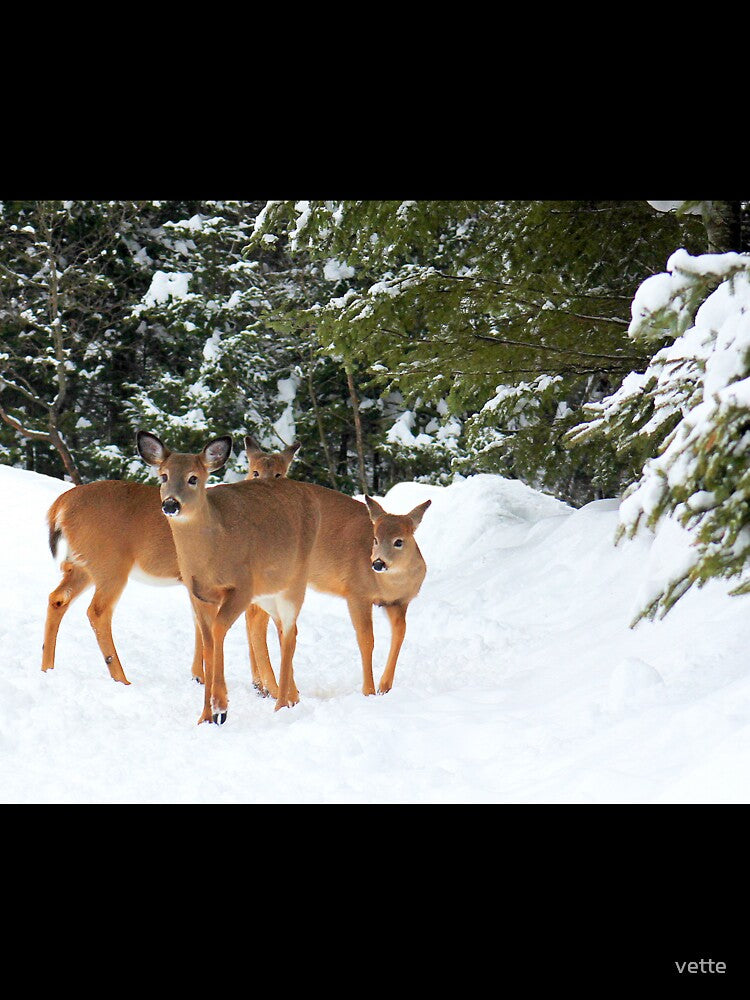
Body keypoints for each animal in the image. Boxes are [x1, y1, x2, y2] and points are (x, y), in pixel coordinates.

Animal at [41, 437, 299, 693]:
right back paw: (122, 679)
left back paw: (47, 668)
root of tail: (60, 505)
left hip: (83, 564)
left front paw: (212, 678)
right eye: (254, 472)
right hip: (110, 563)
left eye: (280, 474)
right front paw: (274, 689)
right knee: (97, 611)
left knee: (57, 598)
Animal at [136, 430, 320, 724]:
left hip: (294, 581)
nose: (170, 504)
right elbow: (208, 642)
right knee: (282, 629)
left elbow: (218, 630)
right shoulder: (198, 594)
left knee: (290, 633)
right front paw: (205, 716)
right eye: (163, 476)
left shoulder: (242, 587)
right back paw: (291, 698)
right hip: (268, 592)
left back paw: (281, 705)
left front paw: (221, 706)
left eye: (193, 478)